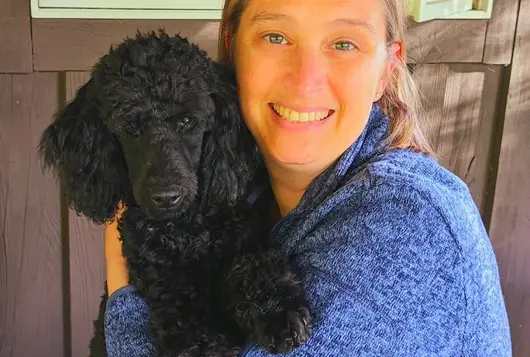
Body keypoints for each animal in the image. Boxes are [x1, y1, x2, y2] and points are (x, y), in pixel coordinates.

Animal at [39, 31, 312, 356]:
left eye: (186, 121)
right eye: (129, 126)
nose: (166, 196)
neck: (188, 229)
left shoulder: (242, 238)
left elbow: (254, 263)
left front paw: (277, 310)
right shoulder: (172, 294)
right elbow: (198, 339)